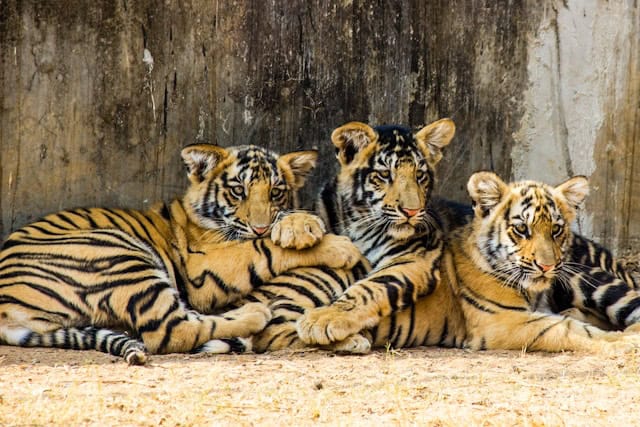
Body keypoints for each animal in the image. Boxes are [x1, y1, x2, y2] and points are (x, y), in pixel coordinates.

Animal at [0, 143, 361, 364]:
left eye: (276, 192)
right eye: (237, 191)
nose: (260, 226)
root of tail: (6, 312)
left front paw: (297, 224)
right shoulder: (205, 269)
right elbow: (262, 249)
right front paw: (339, 246)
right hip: (117, 252)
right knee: (173, 331)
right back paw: (254, 313)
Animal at [299, 170, 640, 354]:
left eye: (555, 230)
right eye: (522, 229)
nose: (546, 267)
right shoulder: (503, 322)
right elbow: (571, 331)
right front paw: (621, 342)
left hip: (583, 278)